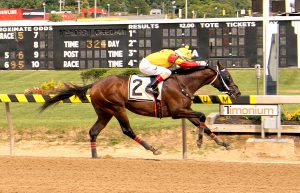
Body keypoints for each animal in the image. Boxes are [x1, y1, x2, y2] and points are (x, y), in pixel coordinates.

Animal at [41, 62, 240, 158]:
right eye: (228, 77)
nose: (236, 91)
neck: (183, 82)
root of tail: (95, 84)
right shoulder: (177, 112)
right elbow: (202, 116)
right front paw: (199, 142)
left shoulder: (185, 109)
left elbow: (202, 124)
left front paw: (224, 143)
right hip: (116, 108)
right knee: (127, 130)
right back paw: (153, 148)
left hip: (104, 112)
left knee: (93, 131)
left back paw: (95, 156)